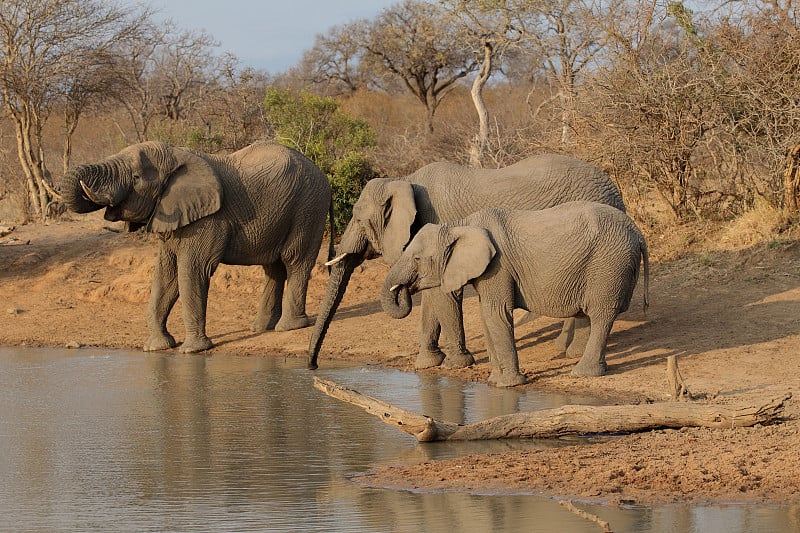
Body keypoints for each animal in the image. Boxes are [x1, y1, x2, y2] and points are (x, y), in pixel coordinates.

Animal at [60, 140, 332, 354]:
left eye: (136, 178)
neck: (176, 155)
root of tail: (322, 174)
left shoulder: (209, 219)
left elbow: (192, 271)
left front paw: (192, 351)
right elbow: (166, 276)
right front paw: (157, 348)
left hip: (309, 208)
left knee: (295, 260)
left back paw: (288, 327)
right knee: (273, 268)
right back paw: (261, 328)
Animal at [306, 154, 624, 370]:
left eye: (359, 220)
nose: (312, 365)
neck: (405, 180)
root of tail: (615, 191)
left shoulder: (441, 226)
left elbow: (442, 295)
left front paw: (457, 363)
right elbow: (432, 299)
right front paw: (428, 363)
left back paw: (570, 352)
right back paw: (564, 348)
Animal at [378, 202, 648, 384]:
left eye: (417, 258)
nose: (405, 290)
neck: (459, 226)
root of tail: (638, 232)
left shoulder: (499, 266)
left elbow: (496, 313)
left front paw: (509, 385)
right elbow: (487, 316)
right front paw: (494, 382)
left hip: (609, 267)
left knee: (601, 315)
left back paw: (583, 373)